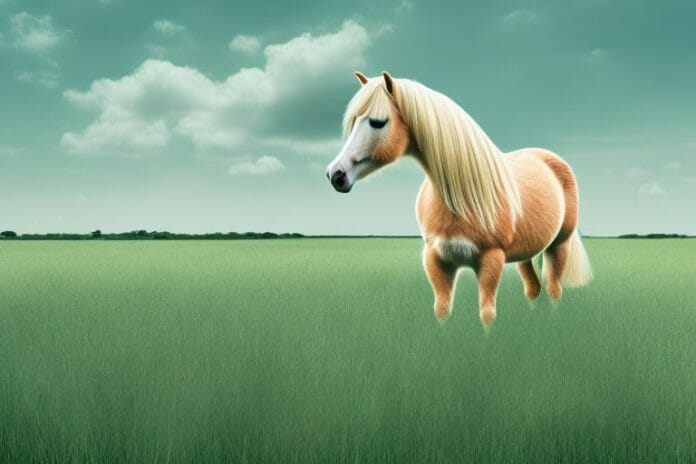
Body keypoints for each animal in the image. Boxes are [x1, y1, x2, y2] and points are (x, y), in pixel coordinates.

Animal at [326, 71, 592, 326]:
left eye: (378, 122)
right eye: (353, 122)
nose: (335, 174)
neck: (462, 198)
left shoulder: (491, 261)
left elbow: (487, 314)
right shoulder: (436, 260)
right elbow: (442, 310)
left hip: (559, 245)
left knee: (554, 289)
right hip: (527, 250)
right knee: (533, 288)